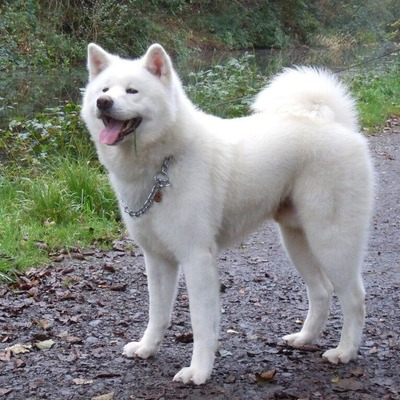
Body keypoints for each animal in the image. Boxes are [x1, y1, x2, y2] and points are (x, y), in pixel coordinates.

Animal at [81, 43, 376, 384]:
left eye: (132, 91)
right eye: (104, 90)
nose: (103, 102)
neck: (164, 162)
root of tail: (337, 124)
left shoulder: (197, 258)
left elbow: (201, 323)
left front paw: (198, 371)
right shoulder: (157, 259)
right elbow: (158, 313)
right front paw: (147, 348)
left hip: (331, 242)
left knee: (354, 299)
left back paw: (345, 351)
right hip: (297, 240)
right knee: (322, 291)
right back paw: (304, 338)